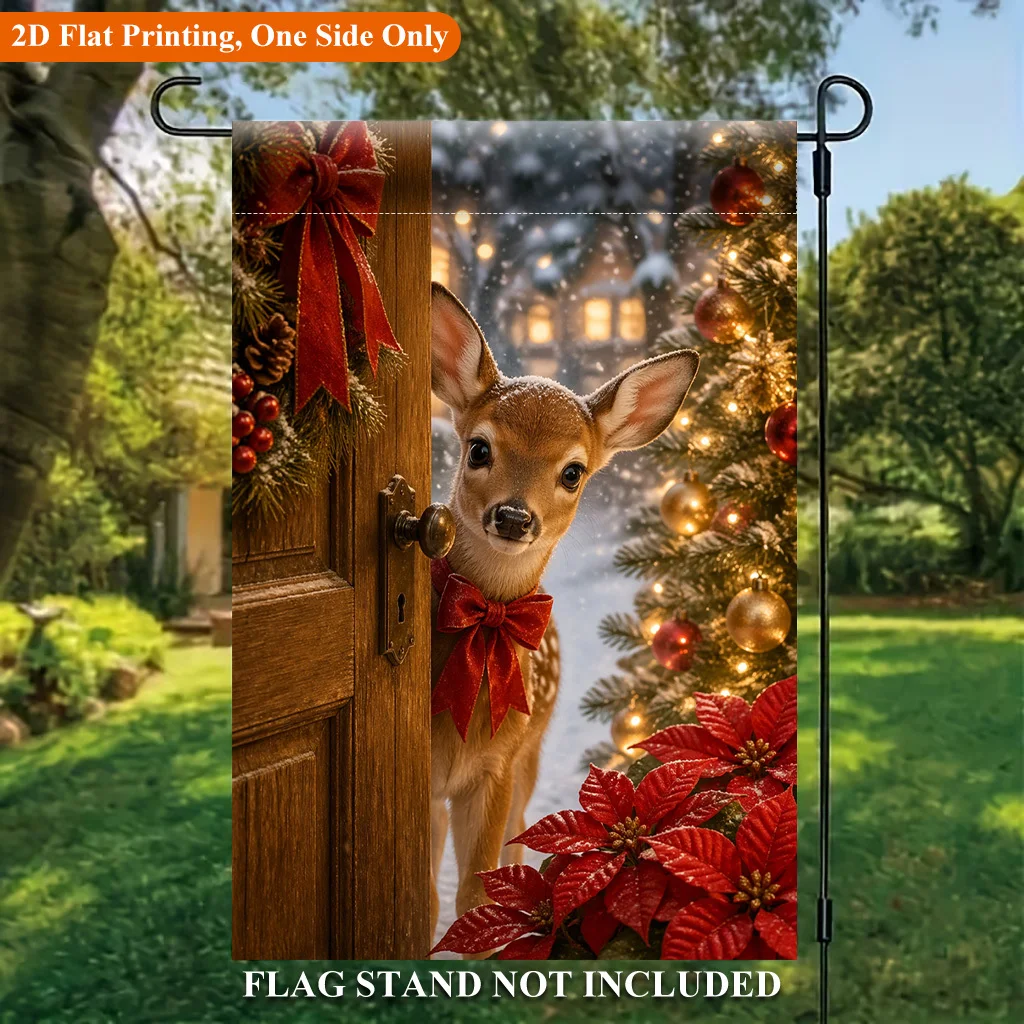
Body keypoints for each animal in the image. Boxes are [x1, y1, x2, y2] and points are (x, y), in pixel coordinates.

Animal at [428, 282, 699, 947]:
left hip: (531, 751)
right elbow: (426, 895)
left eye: (573, 472)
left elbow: (475, 893)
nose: (513, 516)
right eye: (479, 447)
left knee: (519, 838)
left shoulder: (497, 765)